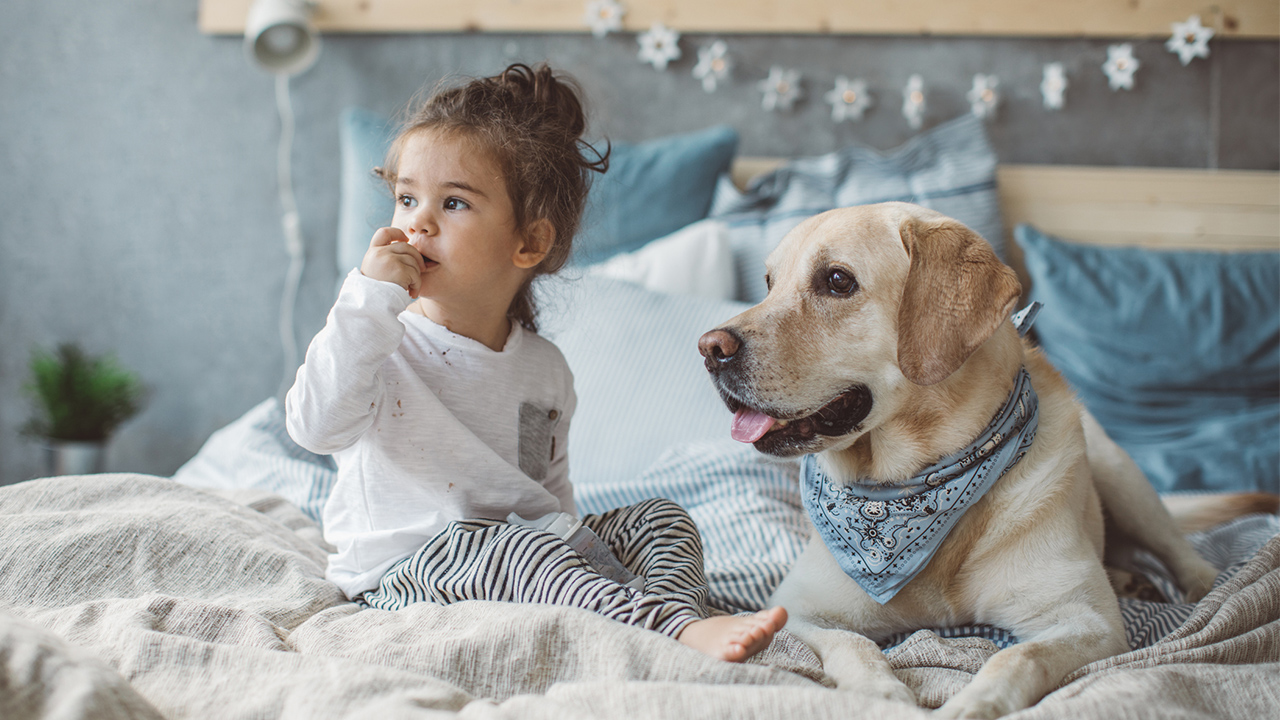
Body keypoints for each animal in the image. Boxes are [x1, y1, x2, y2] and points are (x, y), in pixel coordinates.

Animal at [701, 203, 1218, 717]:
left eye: (837, 281)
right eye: (769, 282)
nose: (710, 349)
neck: (912, 486)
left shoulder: (1088, 618)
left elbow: (1017, 656)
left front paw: (971, 705)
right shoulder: (795, 609)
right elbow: (854, 644)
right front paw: (882, 695)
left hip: (1121, 476)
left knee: (1179, 551)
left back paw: (1202, 586)